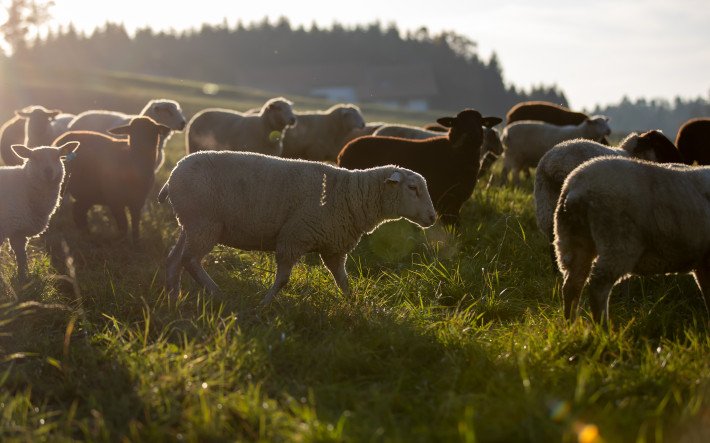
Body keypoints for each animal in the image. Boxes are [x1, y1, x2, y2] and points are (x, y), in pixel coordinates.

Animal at [0, 142, 79, 282]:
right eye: (34, 158)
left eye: (58, 157)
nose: (48, 171)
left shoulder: (18, 231)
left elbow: (21, 257)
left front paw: (23, 278)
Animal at [157, 151, 436, 303]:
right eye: (413, 188)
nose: (433, 217)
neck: (351, 195)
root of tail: (173, 174)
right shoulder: (294, 237)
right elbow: (282, 280)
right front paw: (264, 304)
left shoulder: (334, 248)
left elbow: (343, 281)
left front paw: (354, 305)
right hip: (205, 224)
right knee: (190, 260)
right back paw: (217, 293)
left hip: (191, 224)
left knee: (174, 259)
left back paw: (173, 297)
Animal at [337, 109, 501, 225]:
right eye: (458, 122)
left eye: (481, 121)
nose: (472, 135)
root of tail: (343, 151)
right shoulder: (448, 202)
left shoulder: (456, 202)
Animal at [554, 156, 710, 324]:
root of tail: (576, 187)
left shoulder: (703, 264)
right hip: (618, 240)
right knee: (598, 285)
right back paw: (603, 326)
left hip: (573, 238)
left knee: (572, 284)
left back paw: (571, 324)